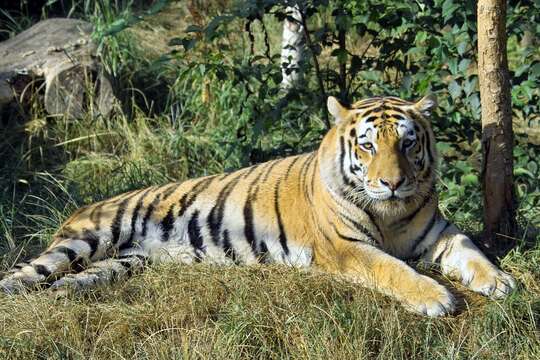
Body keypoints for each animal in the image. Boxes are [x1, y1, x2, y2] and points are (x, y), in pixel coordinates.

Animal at [0, 95, 516, 316]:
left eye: (408, 144)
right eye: (368, 146)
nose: (392, 183)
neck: (389, 214)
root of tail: (83, 206)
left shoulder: (438, 233)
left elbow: (470, 249)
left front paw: (500, 281)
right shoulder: (344, 247)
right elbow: (392, 269)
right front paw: (437, 298)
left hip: (120, 264)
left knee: (67, 285)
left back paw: (62, 297)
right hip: (85, 240)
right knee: (24, 275)